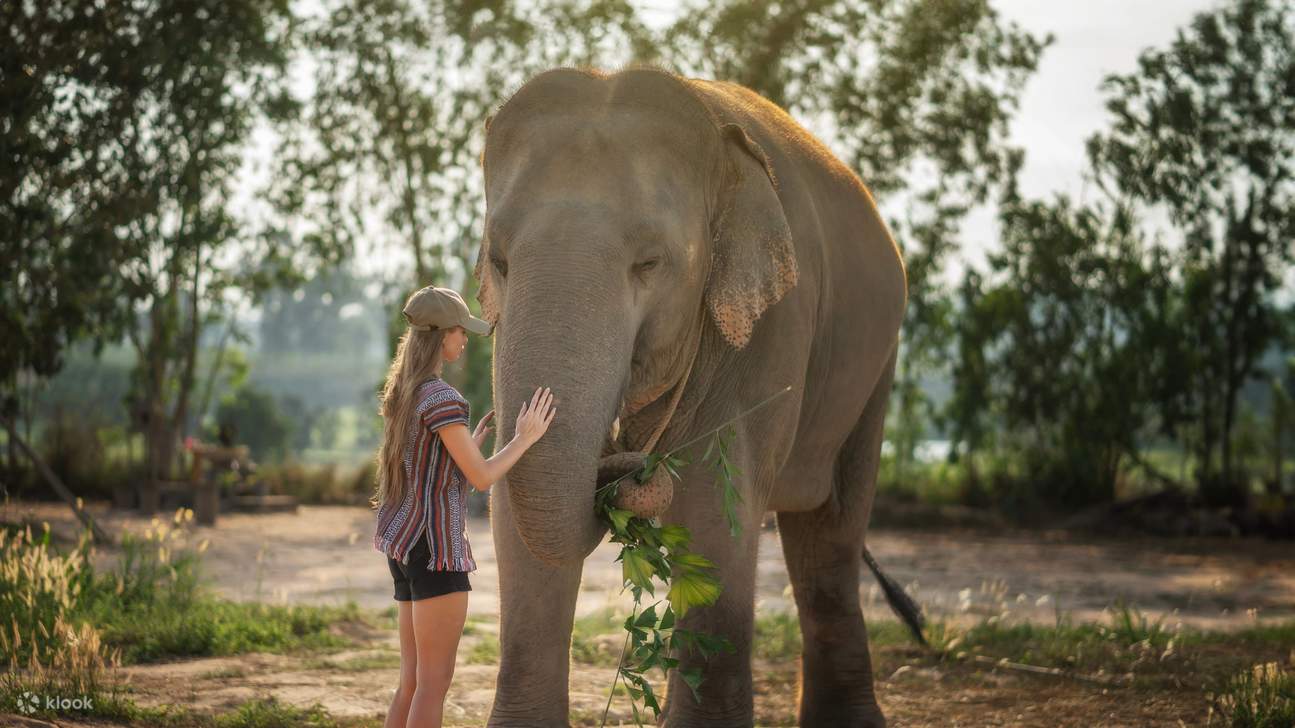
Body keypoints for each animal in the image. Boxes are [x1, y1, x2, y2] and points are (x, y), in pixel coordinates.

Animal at [473, 65, 918, 727]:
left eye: (650, 262)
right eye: (498, 260)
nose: (620, 470)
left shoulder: (773, 327)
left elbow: (714, 502)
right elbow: (512, 490)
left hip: (875, 365)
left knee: (831, 534)